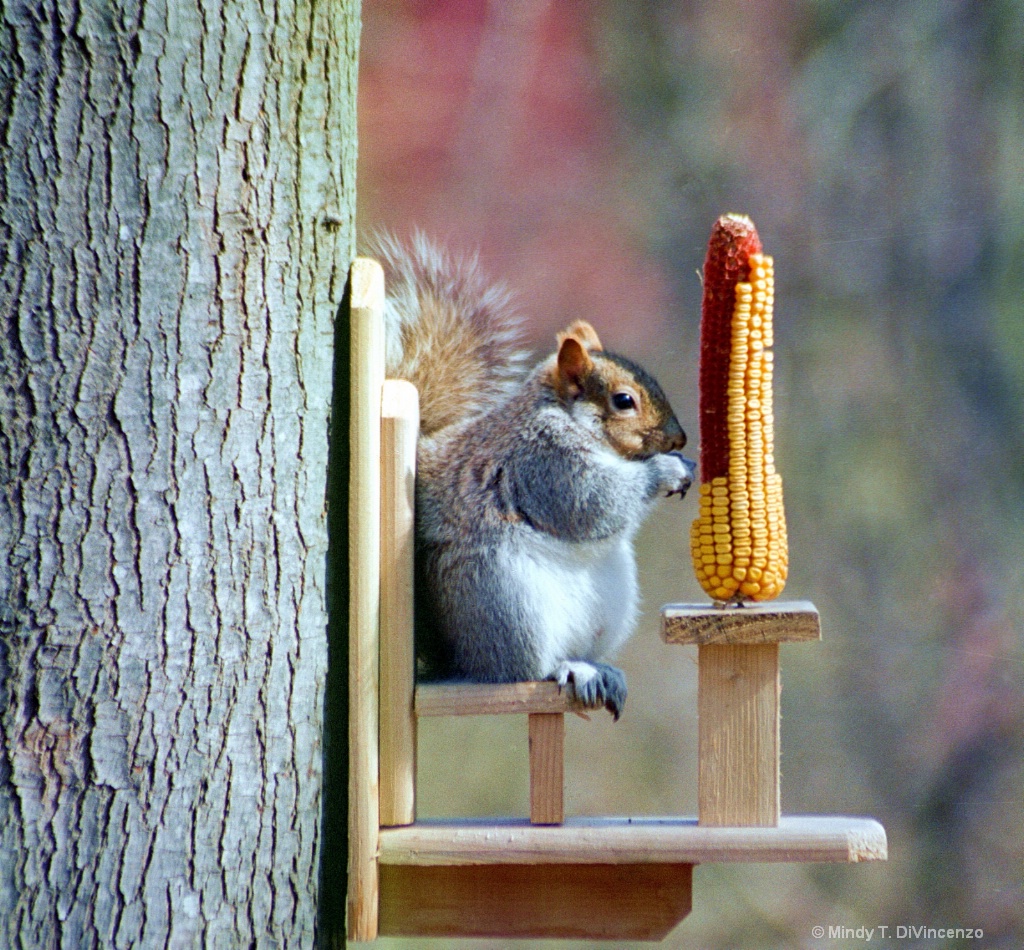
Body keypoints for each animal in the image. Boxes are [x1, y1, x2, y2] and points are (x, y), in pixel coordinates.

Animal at [372, 233, 692, 716]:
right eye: (623, 401)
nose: (679, 439)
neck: (562, 413)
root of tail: (461, 659)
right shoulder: (547, 462)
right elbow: (594, 501)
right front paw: (666, 470)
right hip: (506, 600)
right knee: (522, 670)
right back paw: (566, 669)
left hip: (610, 601)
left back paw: (598, 668)